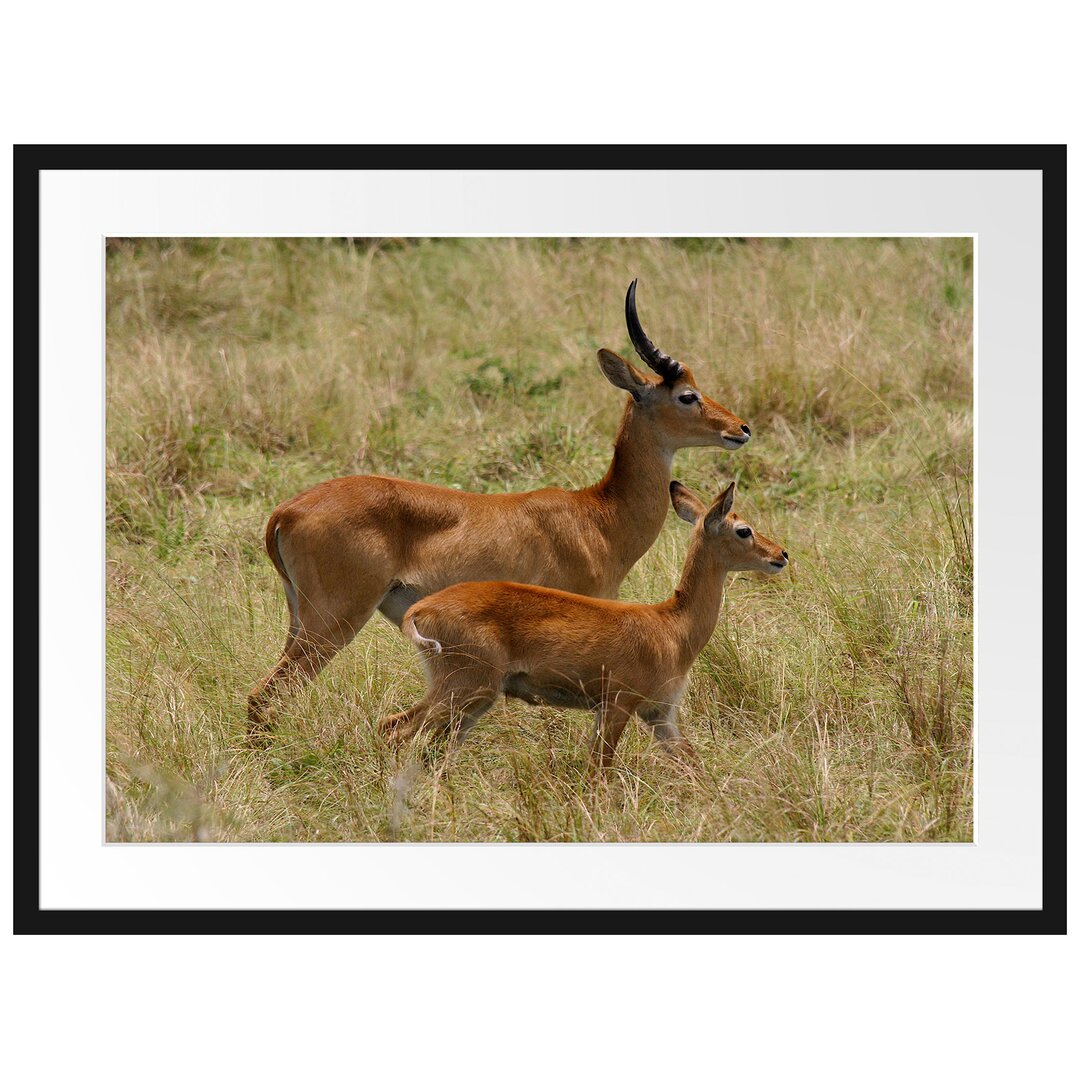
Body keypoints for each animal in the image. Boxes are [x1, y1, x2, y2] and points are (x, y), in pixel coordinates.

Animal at [248, 282, 751, 730]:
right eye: (687, 396)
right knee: (265, 694)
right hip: (334, 620)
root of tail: (286, 511)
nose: (741, 428)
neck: (598, 516)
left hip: (301, 619)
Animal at [384, 481, 790, 768]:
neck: (673, 627)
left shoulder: (660, 714)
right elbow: (600, 769)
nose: (781, 554)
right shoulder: (617, 705)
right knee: (393, 728)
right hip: (464, 688)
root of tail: (420, 609)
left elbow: (693, 764)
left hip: (473, 700)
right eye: (743, 530)